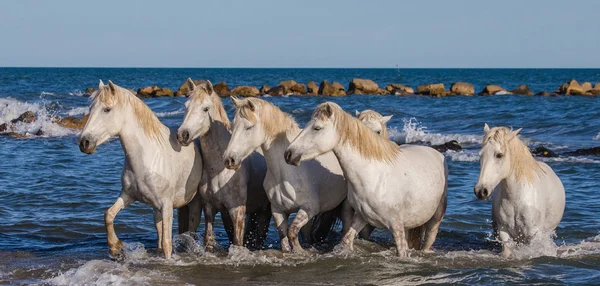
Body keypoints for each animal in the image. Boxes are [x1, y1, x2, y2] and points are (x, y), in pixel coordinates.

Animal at [78, 80, 202, 260]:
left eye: (107, 109)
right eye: (91, 108)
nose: (84, 143)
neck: (148, 158)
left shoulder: (166, 205)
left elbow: (167, 244)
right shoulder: (128, 195)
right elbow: (108, 214)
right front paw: (115, 247)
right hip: (156, 209)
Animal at [176, 79, 270, 250]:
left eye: (205, 108)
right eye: (186, 106)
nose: (182, 135)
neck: (220, 170)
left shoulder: (237, 211)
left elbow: (238, 243)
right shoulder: (210, 207)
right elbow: (209, 239)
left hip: (265, 210)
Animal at [223, 98, 350, 252]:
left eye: (249, 127)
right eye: (233, 126)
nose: (229, 160)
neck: (285, 174)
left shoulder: (309, 208)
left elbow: (292, 232)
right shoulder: (278, 211)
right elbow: (284, 237)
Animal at [284, 101, 446, 256]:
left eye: (317, 128)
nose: (288, 154)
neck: (375, 177)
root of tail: (436, 153)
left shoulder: (396, 226)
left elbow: (401, 253)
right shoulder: (361, 218)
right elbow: (347, 240)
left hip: (434, 221)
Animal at [476, 124, 564, 258]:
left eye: (499, 155)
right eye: (480, 155)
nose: (481, 191)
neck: (517, 199)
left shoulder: (533, 235)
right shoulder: (504, 232)